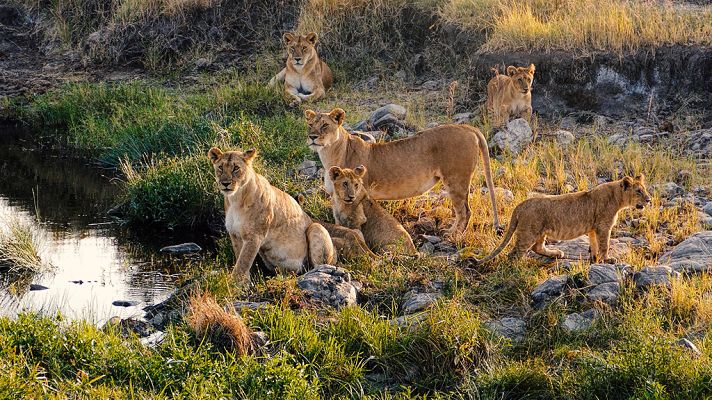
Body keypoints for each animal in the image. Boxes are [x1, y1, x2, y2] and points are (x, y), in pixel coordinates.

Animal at [304, 108, 500, 234]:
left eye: (324, 125)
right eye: (310, 124)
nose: (312, 136)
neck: (329, 154)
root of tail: (467, 127)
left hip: (456, 180)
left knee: (464, 211)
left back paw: (452, 235)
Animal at [472, 176, 652, 266]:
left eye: (645, 190)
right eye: (638, 191)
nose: (649, 200)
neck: (617, 197)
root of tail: (520, 205)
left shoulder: (593, 229)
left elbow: (594, 245)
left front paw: (594, 260)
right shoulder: (603, 227)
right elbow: (604, 245)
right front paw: (608, 259)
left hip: (540, 231)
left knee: (537, 247)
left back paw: (557, 253)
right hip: (529, 232)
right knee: (514, 253)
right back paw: (519, 267)